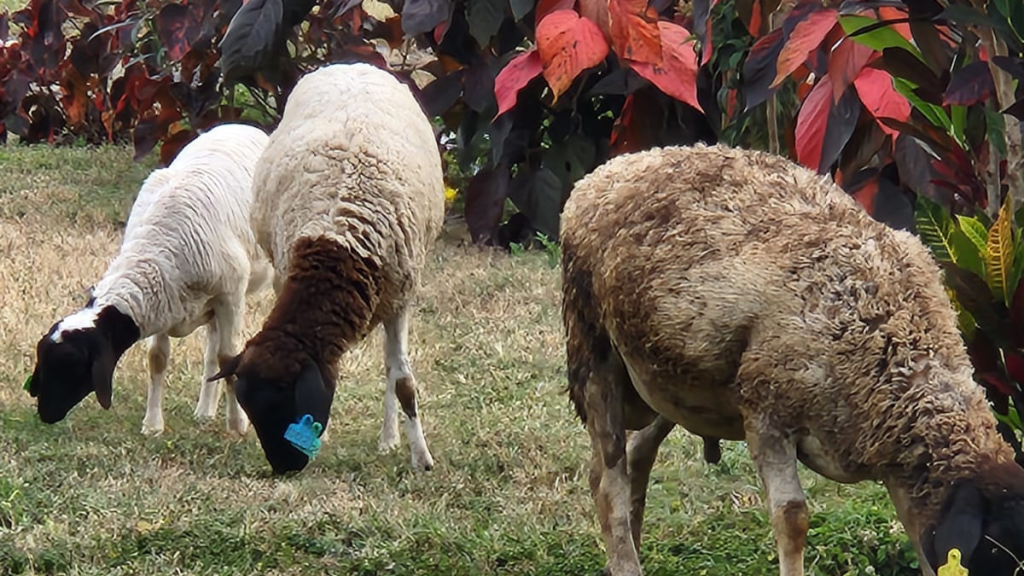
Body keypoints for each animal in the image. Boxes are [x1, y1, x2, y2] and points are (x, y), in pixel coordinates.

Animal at [27, 123, 274, 436]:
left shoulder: (229, 296)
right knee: (210, 348)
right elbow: (157, 359)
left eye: (70, 365)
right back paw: (204, 411)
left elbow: (229, 357)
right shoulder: (166, 301)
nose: (44, 414)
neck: (158, 244)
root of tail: (241, 125)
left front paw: (238, 425)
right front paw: (153, 425)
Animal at [209, 62, 444, 475]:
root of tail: (351, 64)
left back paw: (388, 438)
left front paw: (421, 458)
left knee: (390, 369)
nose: (284, 467)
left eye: (286, 404)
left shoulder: (400, 296)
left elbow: (402, 381)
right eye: (252, 412)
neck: (338, 246)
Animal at [560, 143, 1024, 576]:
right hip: (592, 348)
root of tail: (619, 165)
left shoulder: (900, 463)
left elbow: (920, 540)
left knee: (635, 457)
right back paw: (625, 560)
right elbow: (793, 518)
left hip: (670, 383)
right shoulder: (767, 412)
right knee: (609, 478)